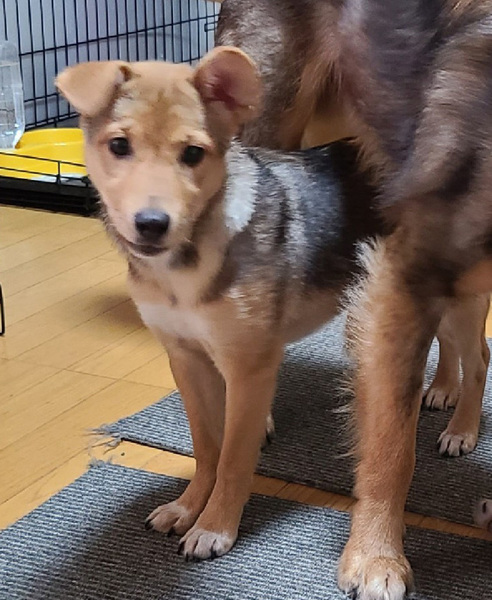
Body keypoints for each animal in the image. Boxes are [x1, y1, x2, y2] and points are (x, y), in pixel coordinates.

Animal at [56, 44, 489, 572]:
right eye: (119, 146)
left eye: (193, 154)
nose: (152, 224)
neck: (186, 265)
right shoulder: (185, 358)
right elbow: (205, 447)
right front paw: (186, 507)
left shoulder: (250, 367)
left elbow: (233, 457)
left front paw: (215, 527)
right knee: (449, 345)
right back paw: (442, 390)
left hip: (457, 299)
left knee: (480, 356)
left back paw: (462, 430)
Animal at [217, 1, 492, 598]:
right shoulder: (404, 271)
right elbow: (391, 443)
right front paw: (376, 557)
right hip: (270, 121)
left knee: (471, 350)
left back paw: (450, 401)